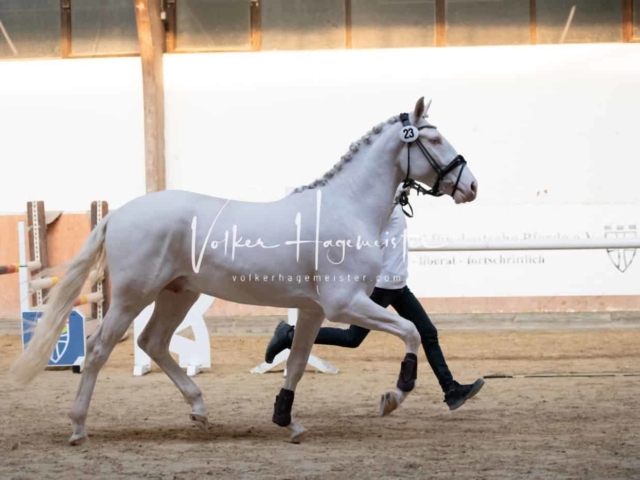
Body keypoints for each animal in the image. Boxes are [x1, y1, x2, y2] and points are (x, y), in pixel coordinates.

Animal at [12, 95, 478, 444]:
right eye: (434, 138)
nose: (471, 185)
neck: (347, 208)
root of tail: (119, 214)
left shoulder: (313, 310)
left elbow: (297, 362)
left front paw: (287, 421)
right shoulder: (345, 304)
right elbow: (411, 332)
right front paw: (393, 397)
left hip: (178, 293)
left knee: (153, 342)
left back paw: (199, 408)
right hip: (132, 296)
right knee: (98, 348)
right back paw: (78, 427)